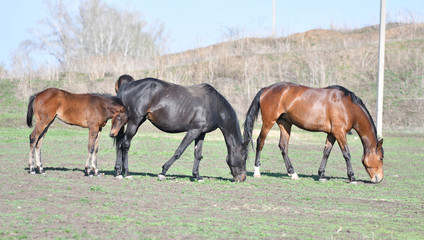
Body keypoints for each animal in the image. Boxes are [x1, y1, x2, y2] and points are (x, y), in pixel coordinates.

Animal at [109, 75, 248, 182]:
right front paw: (163, 172)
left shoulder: (201, 133)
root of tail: (127, 86)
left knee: (120, 143)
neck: (215, 106)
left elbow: (197, 154)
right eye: (245, 157)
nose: (242, 178)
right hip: (135, 121)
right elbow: (179, 151)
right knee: (126, 144)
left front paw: (197, 176)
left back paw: (119, 172)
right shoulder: (193, 131)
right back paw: (127, 173)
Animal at [242, 82, 384, 184]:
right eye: (381, 158)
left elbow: (326, 153)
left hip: (285, 124)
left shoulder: (332, 134)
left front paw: (321, 175)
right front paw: (352, 177)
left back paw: (292, 173)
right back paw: (257, 171)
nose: (379, 178)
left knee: (283, 146)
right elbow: (346, 154)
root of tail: (266, 89)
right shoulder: (340, 133)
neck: (348, 106)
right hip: (268, 122)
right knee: (260, 141)